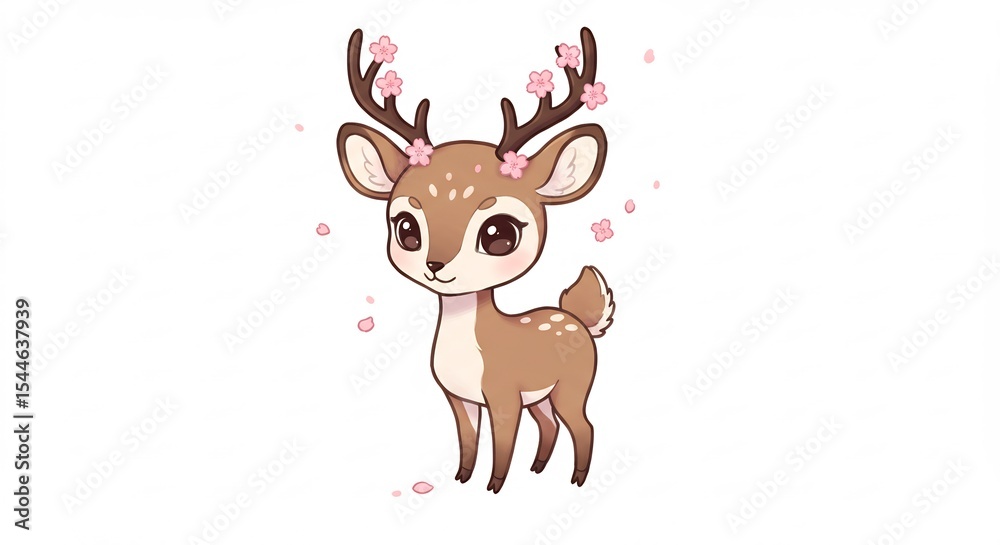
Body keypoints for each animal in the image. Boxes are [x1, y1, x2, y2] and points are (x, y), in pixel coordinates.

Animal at [336, 27, 614, 493]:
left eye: (499, 234)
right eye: (406, 228)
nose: (436, 266)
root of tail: (579, 320)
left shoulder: (503, 396)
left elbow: (502, 446)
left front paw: (494, 488)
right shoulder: (460, 399)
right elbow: (468, 441)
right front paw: (462, 479)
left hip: (571, 387)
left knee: (584, 426)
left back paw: (576, 480)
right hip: (542, 396)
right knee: (550, 425)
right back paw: (539, 470)